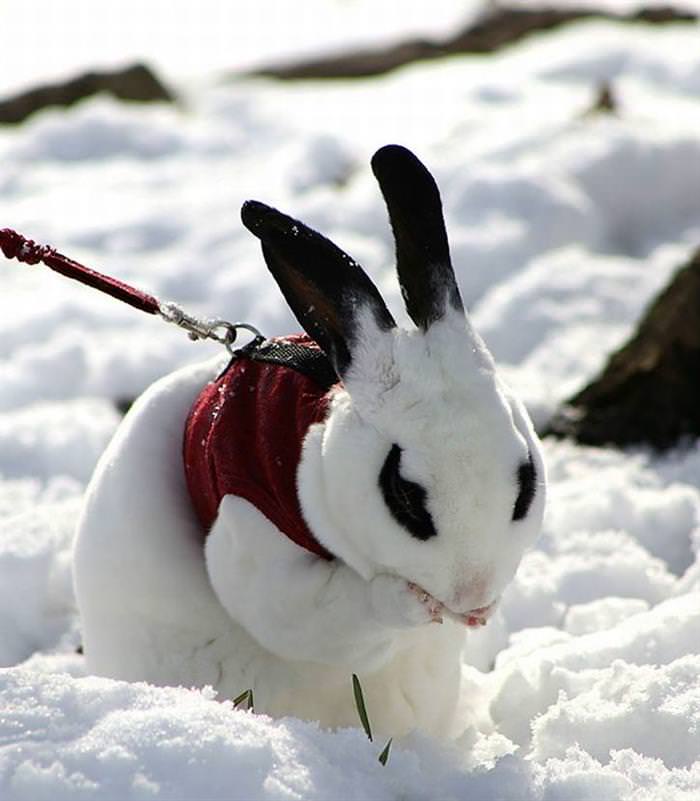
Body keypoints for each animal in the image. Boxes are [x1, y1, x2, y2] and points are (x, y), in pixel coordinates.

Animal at [74, 144, 544, 736]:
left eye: (526, 481)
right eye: (403, 494)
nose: (474, 601)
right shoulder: (252, 532)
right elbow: (311, 613)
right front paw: (411, 603)